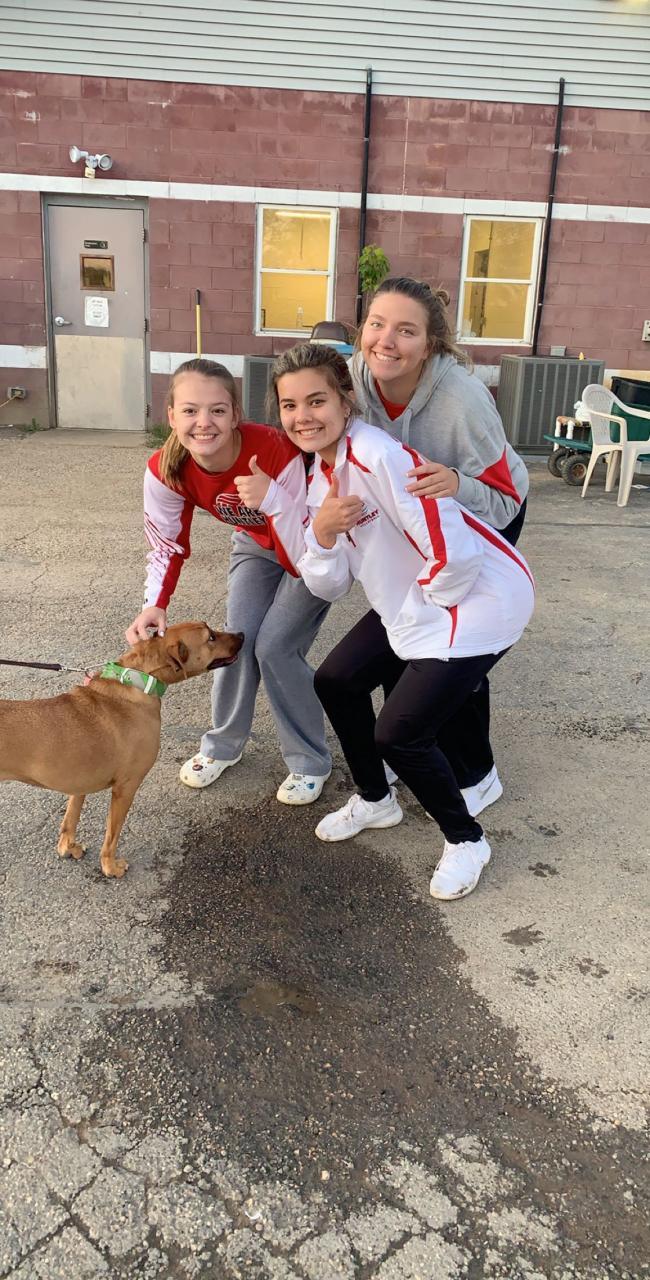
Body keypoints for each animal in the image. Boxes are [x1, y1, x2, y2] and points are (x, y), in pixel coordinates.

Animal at [0, 622, 243, 878]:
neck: (140, 679)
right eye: (211, 637)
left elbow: (70, 820)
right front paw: (110, 866)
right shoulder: (125, 788)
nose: (241, 635)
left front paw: (69, 848)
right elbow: (112, 835)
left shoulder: (79, 785)